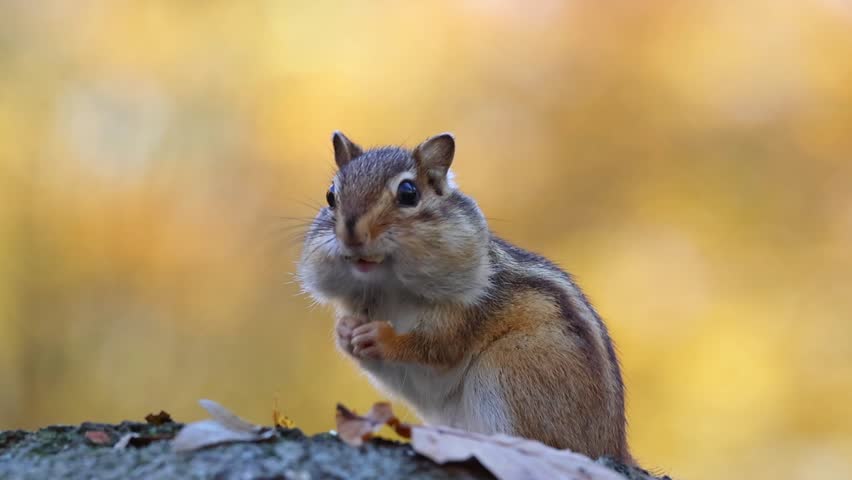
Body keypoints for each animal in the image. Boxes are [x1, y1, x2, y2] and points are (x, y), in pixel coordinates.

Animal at [298, 131, 632, 463]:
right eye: (330, 195)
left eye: (408, 193)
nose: (351, 233)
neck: (391, 288)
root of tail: (613, 445)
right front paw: (345, 331)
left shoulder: (465, 314)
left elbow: (436, 346)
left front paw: (382, 338)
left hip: (510, 366)